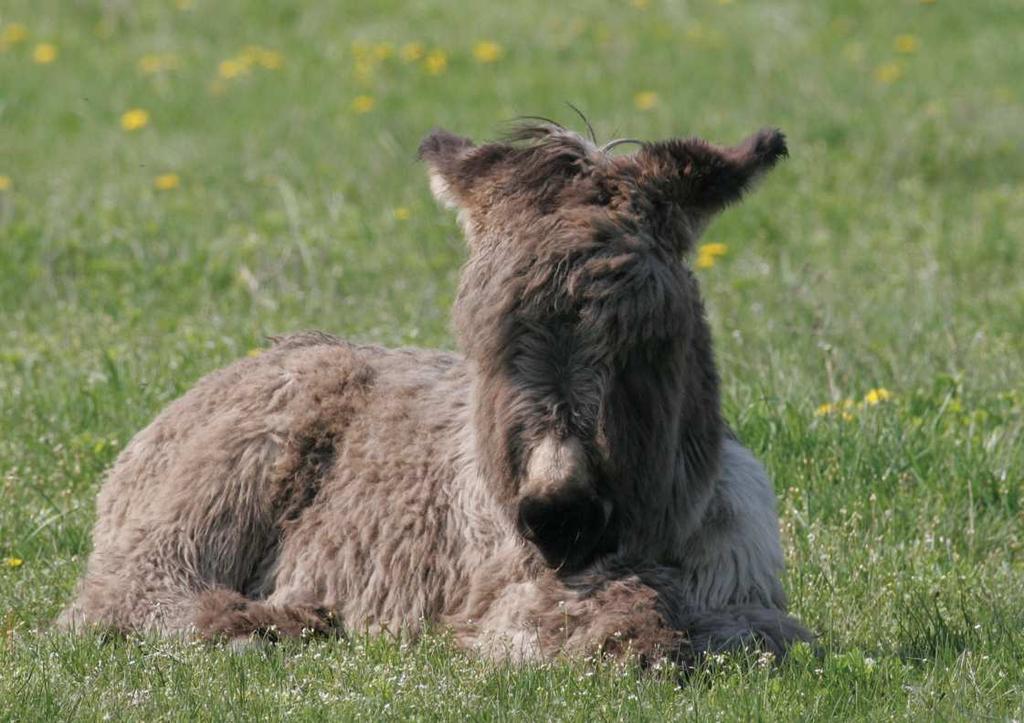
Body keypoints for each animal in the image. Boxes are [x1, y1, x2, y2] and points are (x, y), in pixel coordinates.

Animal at [61, 119, 815, 663]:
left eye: (648, 340)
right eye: (482, 342)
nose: (559, 513)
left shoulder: (748, 589)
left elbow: (772, 635)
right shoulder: (515, 590)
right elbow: (607, 620)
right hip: (234, 468)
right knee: (120, 600)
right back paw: (278, 620)